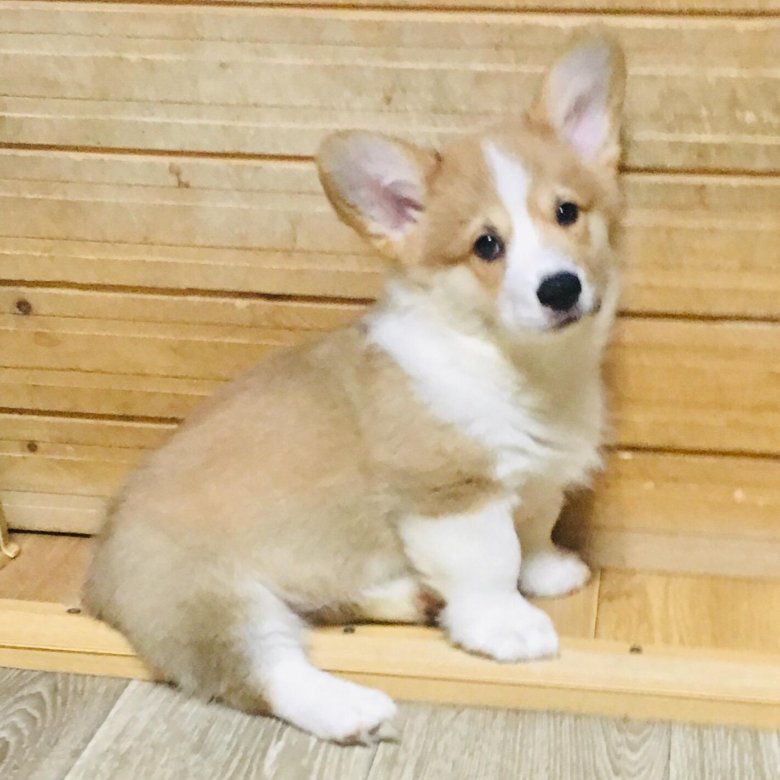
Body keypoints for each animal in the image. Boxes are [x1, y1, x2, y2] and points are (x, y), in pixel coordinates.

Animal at [84, 34, 625, 744]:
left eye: (566, 213)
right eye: (486, 245)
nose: (560, 288)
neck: (515, 366)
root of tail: (97, 569)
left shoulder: (534, 479)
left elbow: (533, 531)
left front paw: (548, 573)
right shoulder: (449, 495)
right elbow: (490, 564)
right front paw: (507, 625)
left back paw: (411, 598)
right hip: (206, 598)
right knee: (264, 671)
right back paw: (352, 709)